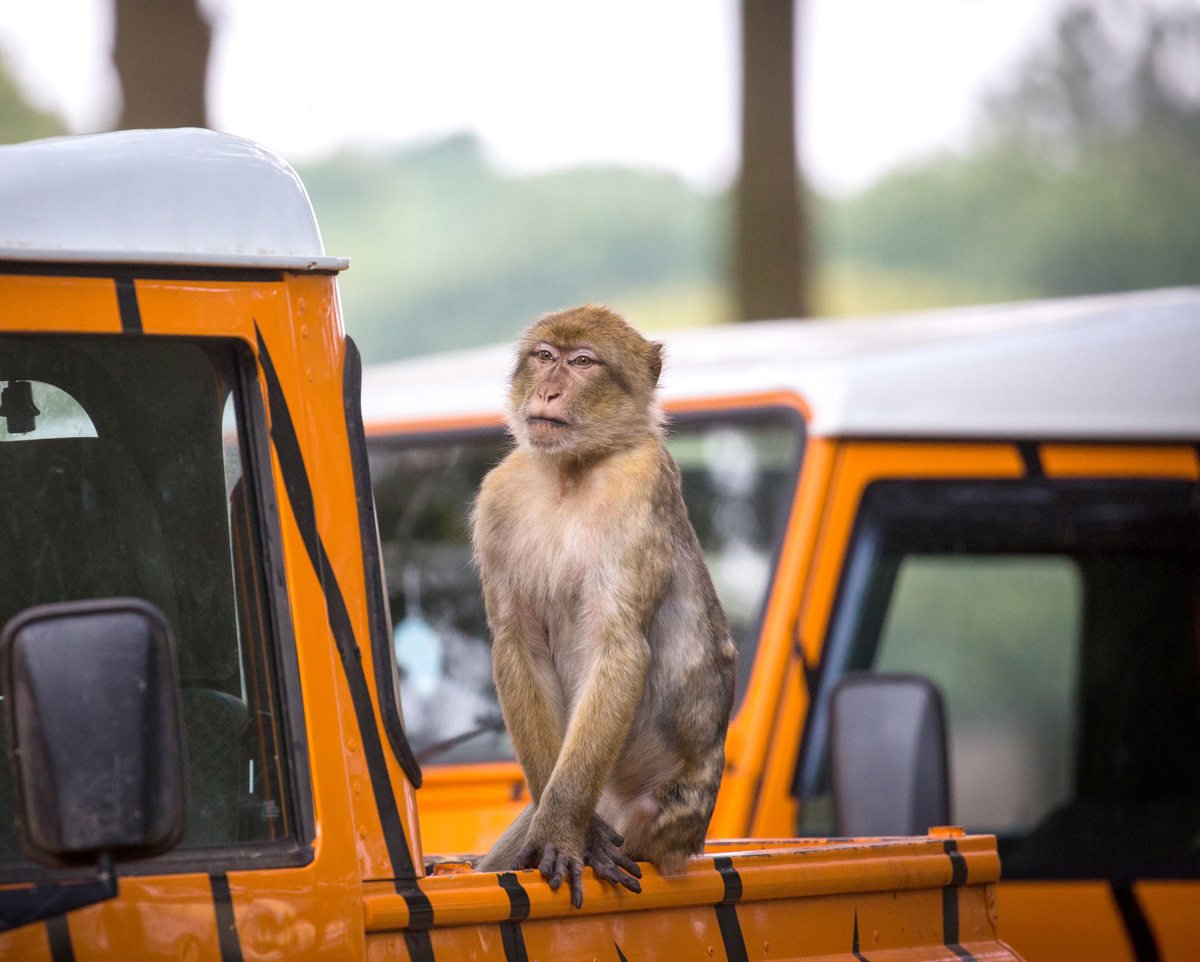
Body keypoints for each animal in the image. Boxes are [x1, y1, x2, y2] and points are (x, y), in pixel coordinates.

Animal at [470, 303, 734, 902]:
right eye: (545, 356)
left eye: (583, 363)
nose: (547, 390)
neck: (571, 472)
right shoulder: (498, 500)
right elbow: (517, 643)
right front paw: (573, 831)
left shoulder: (638, 488)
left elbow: (619, 647)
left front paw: (564, 828)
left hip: (672, 815)